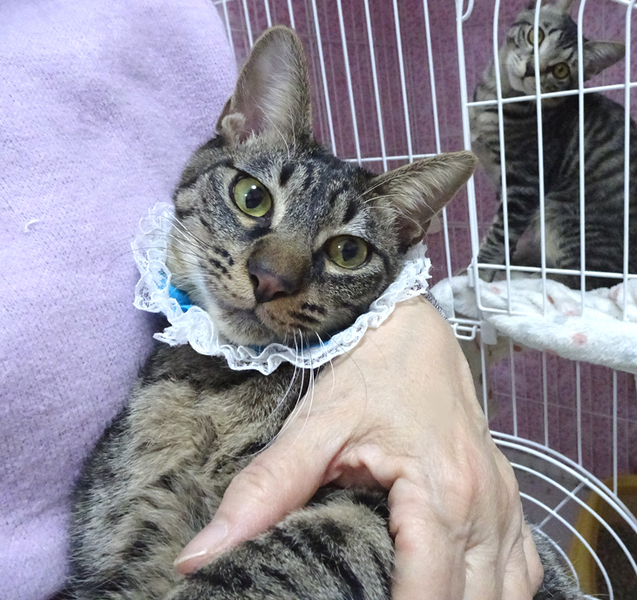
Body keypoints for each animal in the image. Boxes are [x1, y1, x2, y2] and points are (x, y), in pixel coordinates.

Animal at [63, 26, 582, 600]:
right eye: (252, 197)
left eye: (347, 252)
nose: (270, 277)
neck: (216, 391)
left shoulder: (371, 511)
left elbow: (284, 553)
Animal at [471, 0, 637, 290]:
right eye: (535, 36)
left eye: (561, 70)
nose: (531, 69)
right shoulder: (502, 184)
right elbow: (506, 237)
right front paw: (501, 266)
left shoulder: (524, 184)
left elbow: (500, 233)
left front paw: (479, 275)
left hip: (560, 213)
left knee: (581, 281)